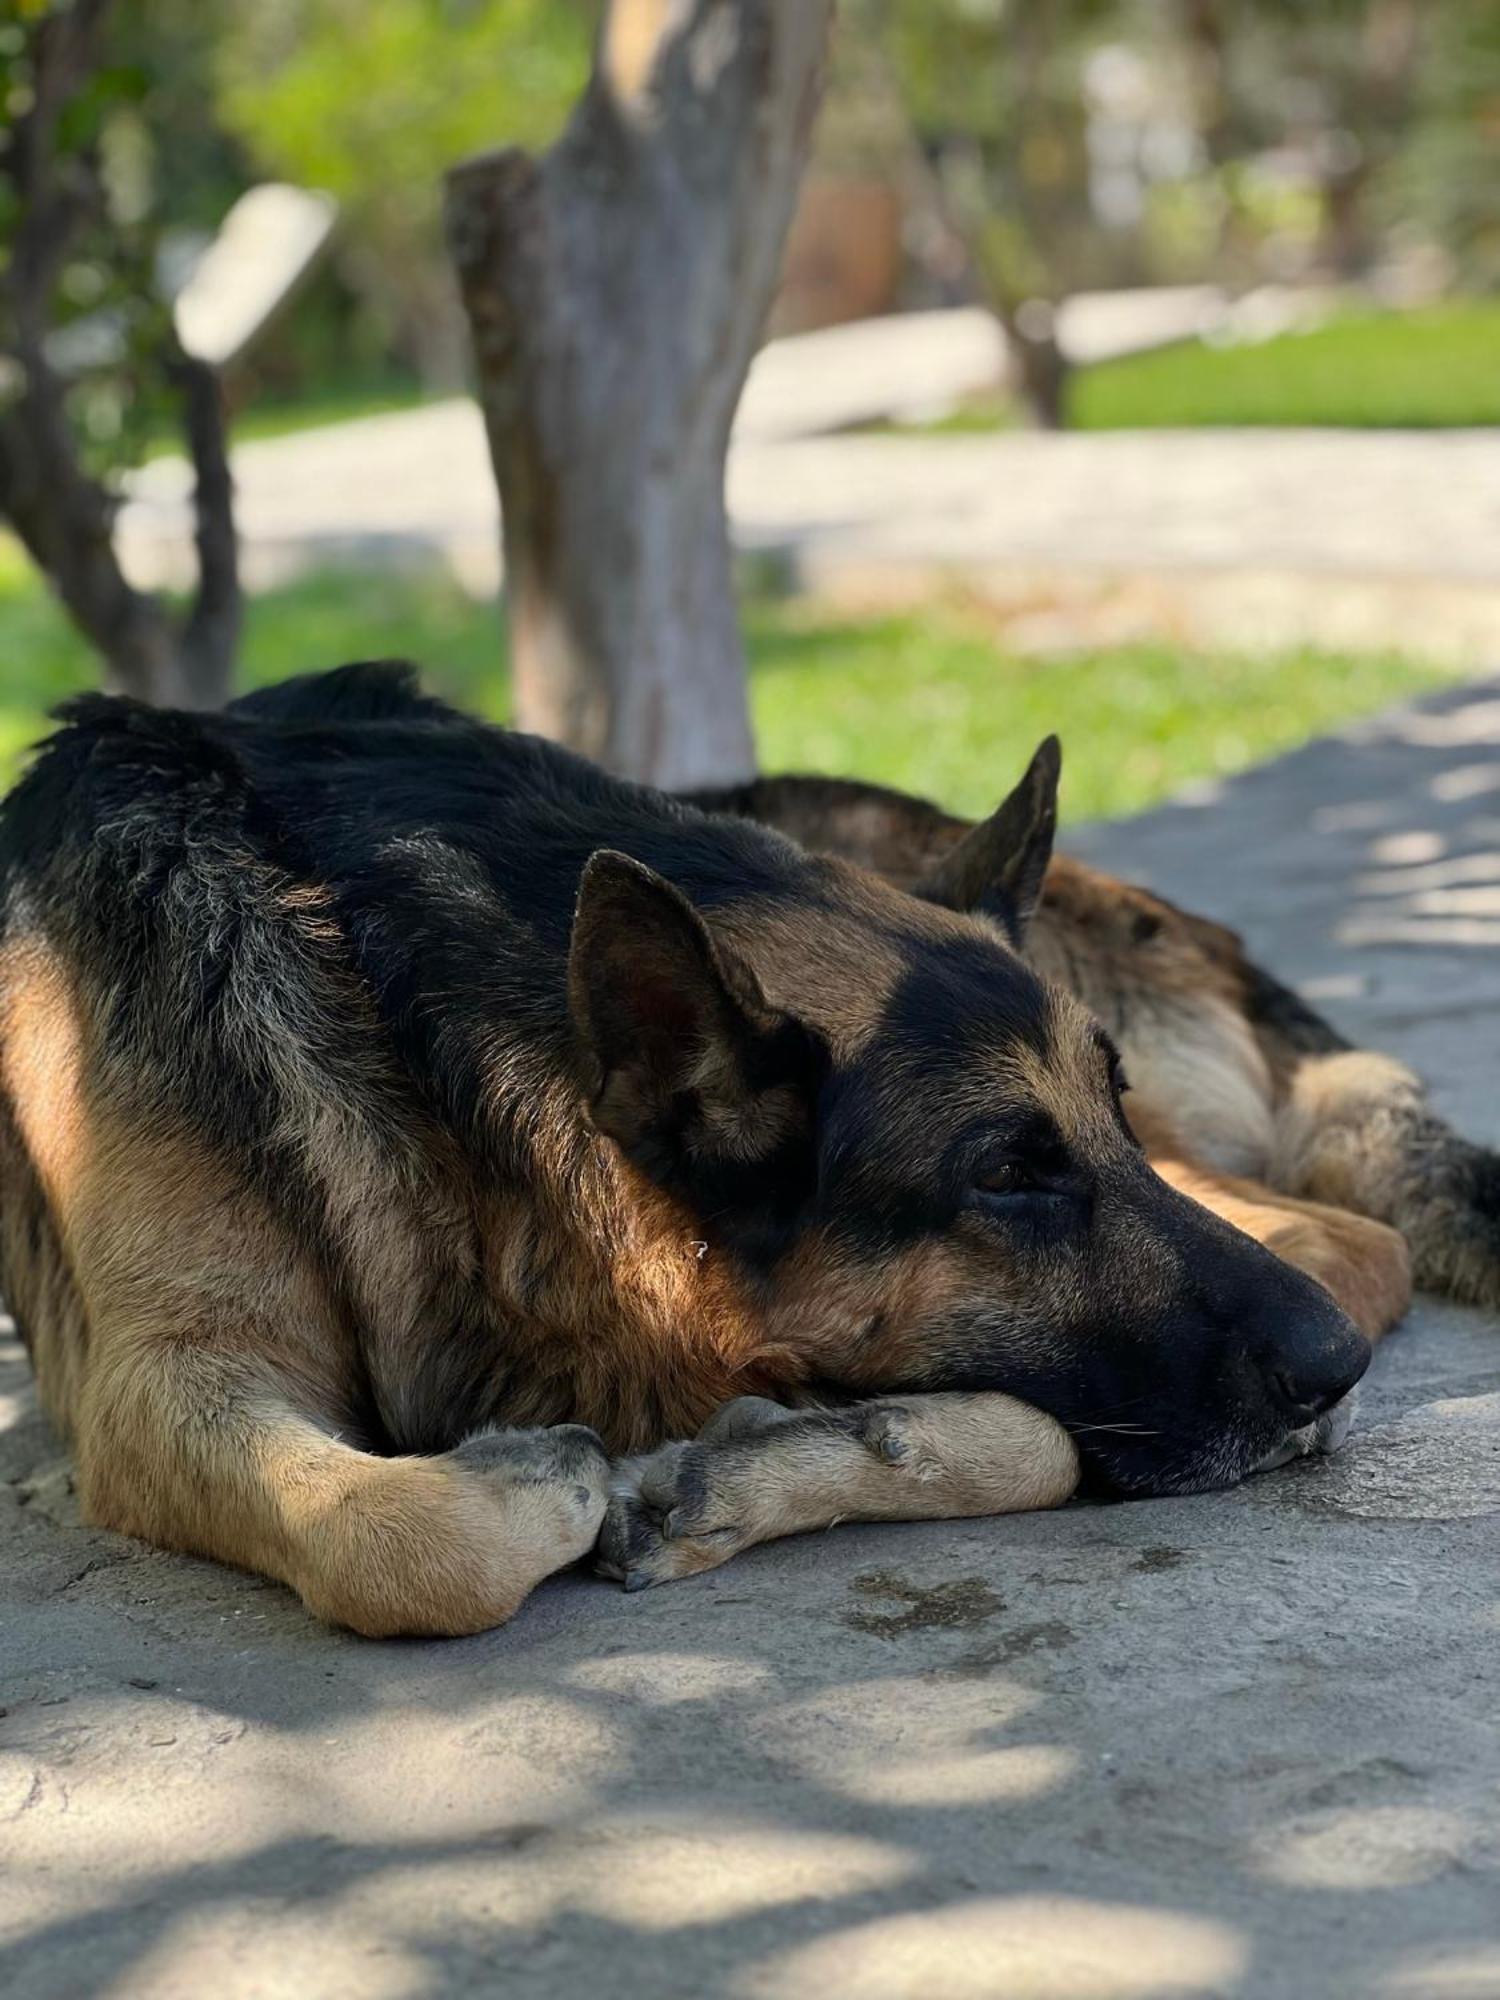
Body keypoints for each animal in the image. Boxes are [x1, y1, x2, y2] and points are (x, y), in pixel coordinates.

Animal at [0, 664, 1488, 1632]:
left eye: (1100, 1123)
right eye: (1008, 1176)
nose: (1336, 1379)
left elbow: (1048, 1441)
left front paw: (774, 1455)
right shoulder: (164, 1381)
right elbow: (418, 1543)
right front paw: (546, 1474)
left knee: (1355, 1244)